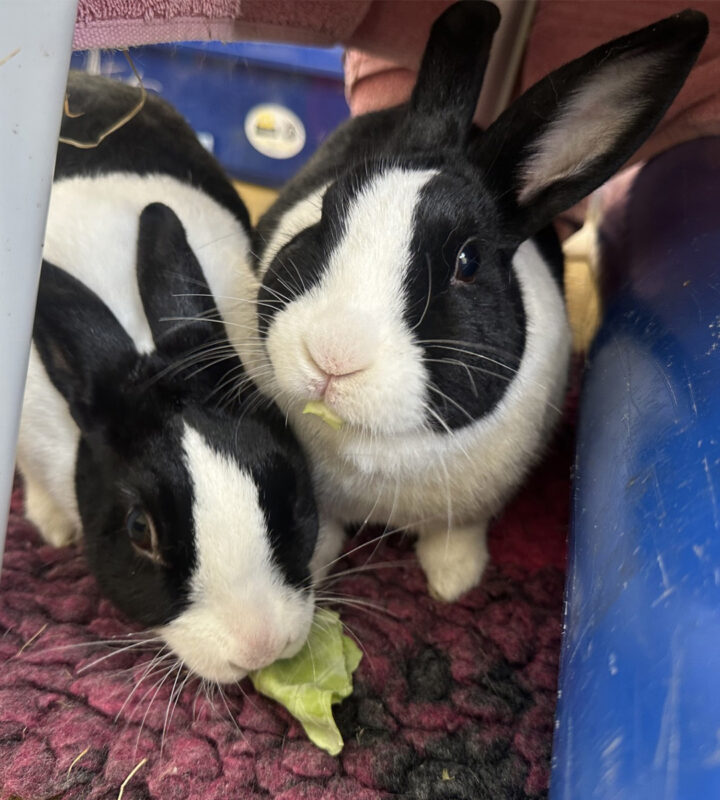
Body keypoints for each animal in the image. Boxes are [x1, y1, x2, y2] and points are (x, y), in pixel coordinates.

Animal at [230, 2, 709, 601]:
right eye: (326, 214)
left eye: (468, 261)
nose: (332, 356)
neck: (378, 447)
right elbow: (325, 531)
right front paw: (313, 573)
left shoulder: (473, 510)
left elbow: (455, 536)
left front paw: (453, 584)